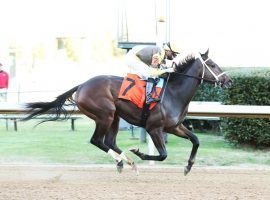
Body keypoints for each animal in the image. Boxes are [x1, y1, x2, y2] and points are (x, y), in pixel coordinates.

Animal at [24, 49, 232, 175]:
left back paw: (126, 162)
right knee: (97, 140)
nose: (229, 81)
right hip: (105, 114)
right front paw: (139, 152)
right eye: (213, 65)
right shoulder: (154, 128)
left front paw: (188, 166)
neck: (174, 92)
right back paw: (127, 160)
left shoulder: (174, 127)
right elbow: (163, 155)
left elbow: (196, 140)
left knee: (109, 141)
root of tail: (81, 85)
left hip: (114, 116)